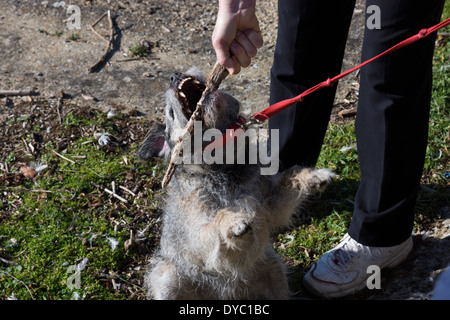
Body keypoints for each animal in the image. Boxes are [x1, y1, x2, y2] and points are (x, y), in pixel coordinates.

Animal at [137, 67, 334, 300]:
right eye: (170, 112)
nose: (174, 75)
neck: (225, 166)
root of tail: (226, 296)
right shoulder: (197, 232)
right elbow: (216, 220)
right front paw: (235, 220)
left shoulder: (270, 206)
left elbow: (289, 178)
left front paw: (313, 177)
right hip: (167, 276)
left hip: (273, 267)